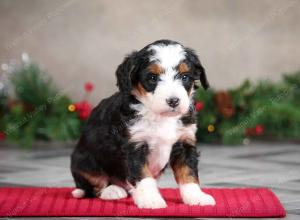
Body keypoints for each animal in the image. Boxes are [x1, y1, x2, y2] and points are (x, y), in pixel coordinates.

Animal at [70, 39, 216, 208]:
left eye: (185, 77)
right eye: (152, 77)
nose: (173, 101)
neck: (160, 117)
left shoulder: (185, 142)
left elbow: (188, 173)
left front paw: (197, 197)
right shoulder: (134, 145)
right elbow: (143, 176)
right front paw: (150, 199)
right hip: (83, 162)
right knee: (93, 185)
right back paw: (112, 191)